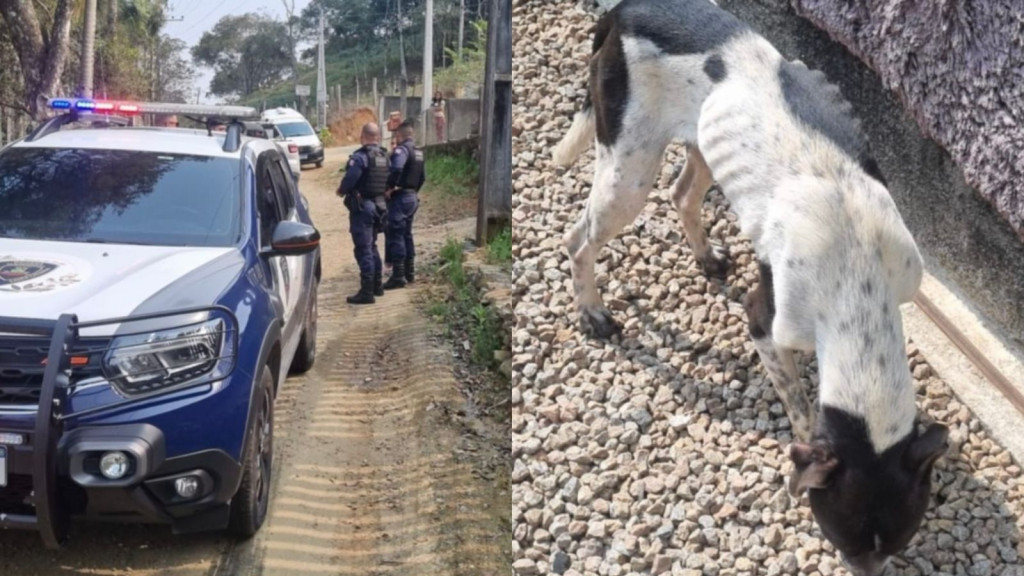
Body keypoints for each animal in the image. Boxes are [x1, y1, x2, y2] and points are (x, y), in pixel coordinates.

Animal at [552, 1, 950, 569]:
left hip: (700, 143)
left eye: (898, 542)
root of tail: (626, 10)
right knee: (578, 238)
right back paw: (592, 313)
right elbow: (801, 408)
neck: (859, 281)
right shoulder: (766, 324)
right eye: (842, 540)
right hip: (627, 174)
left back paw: (705, 257)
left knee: (681, 194)